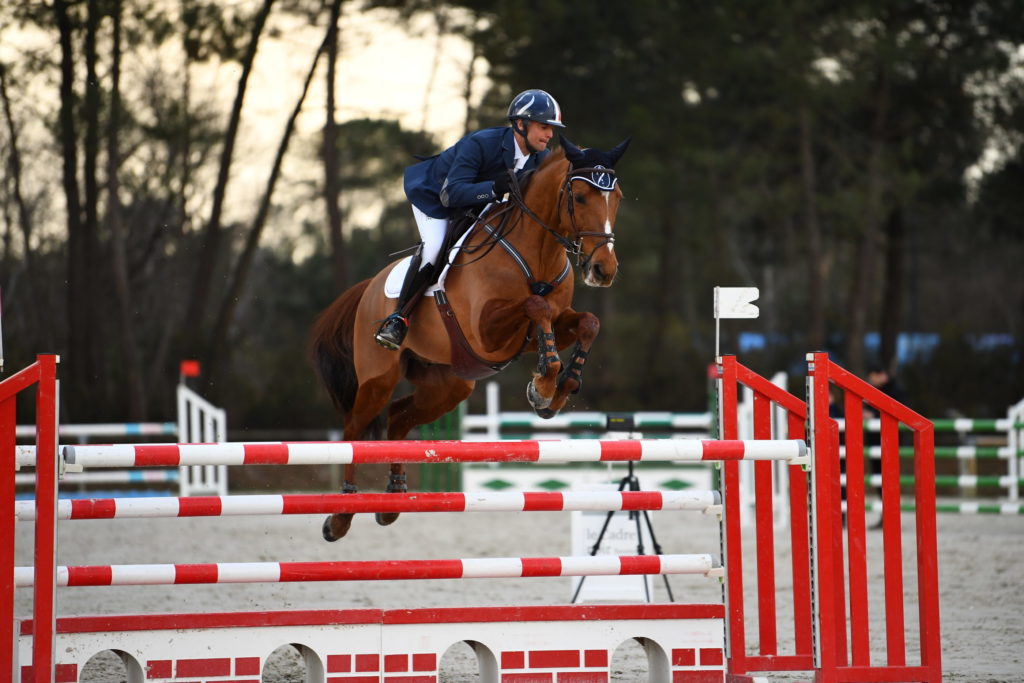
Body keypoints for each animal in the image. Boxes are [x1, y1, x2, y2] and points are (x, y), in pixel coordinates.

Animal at [307, 133, 626, 540]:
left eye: (617, 198)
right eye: (581, 197)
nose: (604, 270)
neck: (538, 250)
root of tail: (370, 287)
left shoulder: (554, 323)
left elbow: (588, 323)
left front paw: (557, 391)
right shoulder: (488, 331)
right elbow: (535, 306)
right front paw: (543, 385)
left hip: (449, 385)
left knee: (398, 418)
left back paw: (392, 501)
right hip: (378, 378)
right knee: (354, 429)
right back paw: (341, 515)